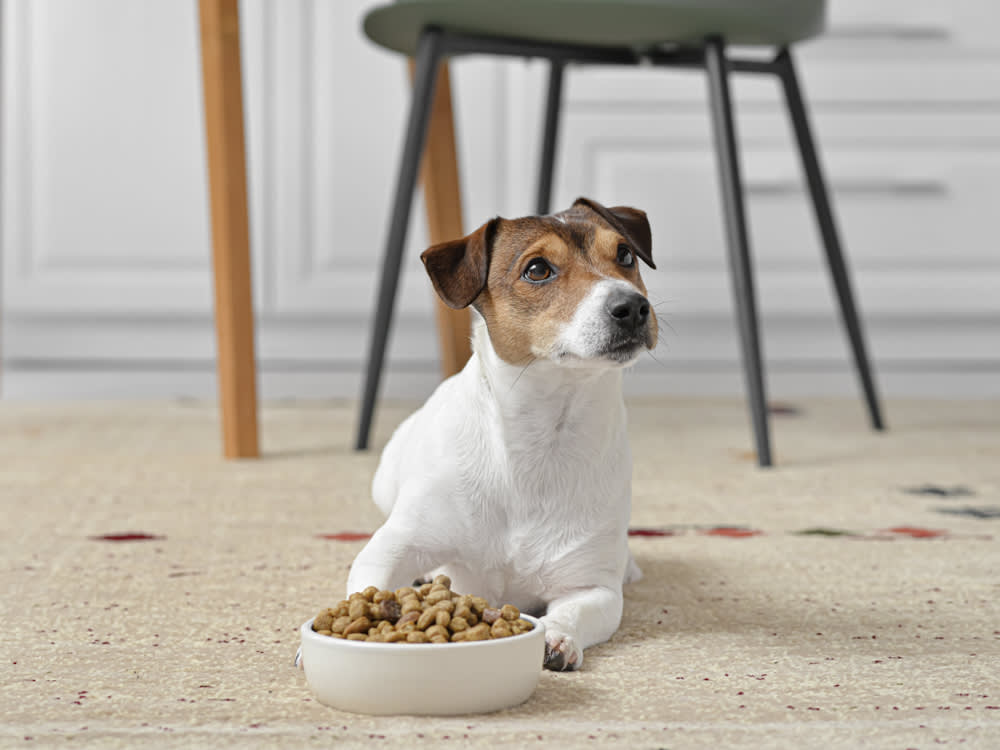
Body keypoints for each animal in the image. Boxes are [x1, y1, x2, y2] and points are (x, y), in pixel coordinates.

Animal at [348, 198, 660, 668]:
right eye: (537, 269)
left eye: (624, 255)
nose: (633, 307)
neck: (539, 438)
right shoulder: (390, 548)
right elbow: (364, 587)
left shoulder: (592, 587)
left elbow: (574, 612)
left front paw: (556, 638)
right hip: (385, 482)